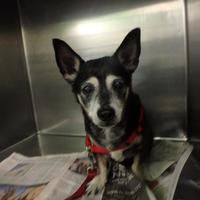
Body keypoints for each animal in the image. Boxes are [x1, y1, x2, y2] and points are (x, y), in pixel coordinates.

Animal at [52, 28, 152, 195]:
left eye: (118, 84)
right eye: (87, 89)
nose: (106, 113)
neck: (110, 131)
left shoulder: (141, 145)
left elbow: (136, 166)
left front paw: (141, 182)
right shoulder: (95, 149)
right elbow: (101, 166)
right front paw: (98, 181)